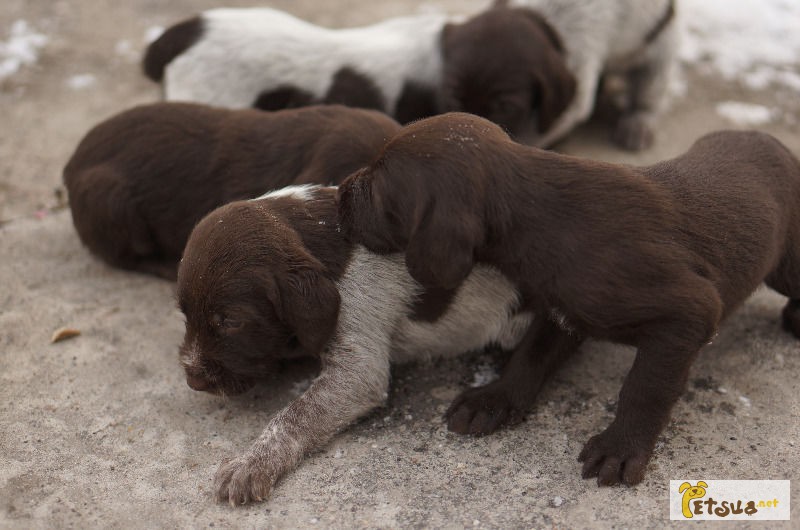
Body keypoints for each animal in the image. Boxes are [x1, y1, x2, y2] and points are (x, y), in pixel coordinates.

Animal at [174, 186, 536, 504]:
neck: (321, 233)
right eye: (185, 313)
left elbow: (294, 415)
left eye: (231, 321)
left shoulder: (357, 358)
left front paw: (252, 464)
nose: (193, 380)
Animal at [336, 111, 800, 482]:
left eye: (375, 187)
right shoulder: (562, 310)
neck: (545, 219)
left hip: (787, 264)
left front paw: (620, 448)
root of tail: (773, 140)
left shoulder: (688, 313)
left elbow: (643, 389)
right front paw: (495, 398)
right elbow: (530, 356)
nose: (340, 189)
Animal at [440, 0, 680, 148]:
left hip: (658, 49)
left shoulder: (576, 87)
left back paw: (637, 124)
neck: (545, 18)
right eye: (453, 97)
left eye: (506, 108)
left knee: (648, 94)